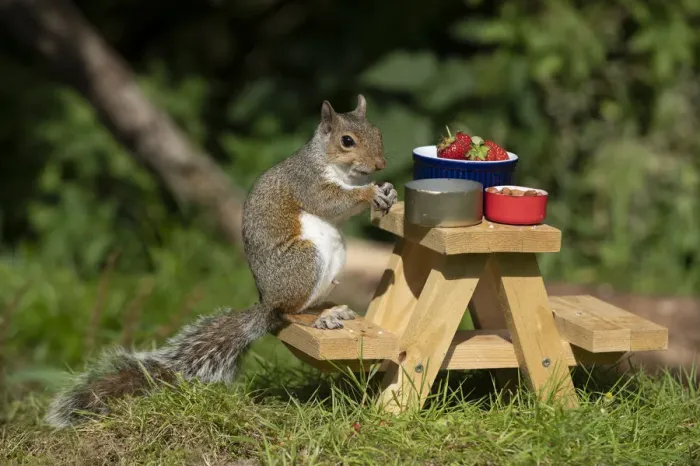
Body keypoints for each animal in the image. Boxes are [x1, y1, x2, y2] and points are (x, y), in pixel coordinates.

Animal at [45, 94, 398, 428]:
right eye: (347, 141)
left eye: (379, 132)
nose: (381, 164)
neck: (336, 168)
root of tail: (266, 302)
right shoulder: (307, 182)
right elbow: (329, 201)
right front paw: (369, 192)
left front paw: (388, 191)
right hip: (305, 261)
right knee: (286, 314)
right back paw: (315, 319)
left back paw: (330, 310)